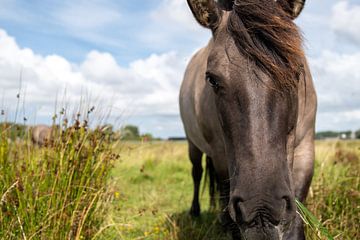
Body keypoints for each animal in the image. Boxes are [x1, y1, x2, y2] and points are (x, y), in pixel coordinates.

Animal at [179, 0, 316, 239]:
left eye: (297, 71)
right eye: (212, 79)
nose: (261, 211)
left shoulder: (306, 148)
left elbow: (297, 218)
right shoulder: (220, 156)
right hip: (192, 144)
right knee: (197, 173)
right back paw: (195, 212)